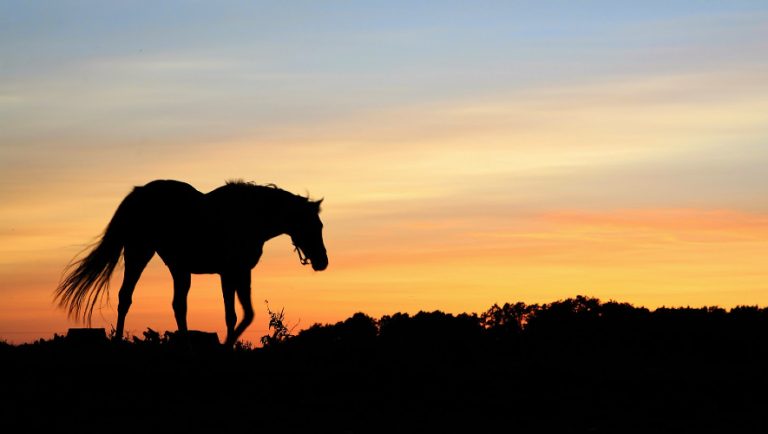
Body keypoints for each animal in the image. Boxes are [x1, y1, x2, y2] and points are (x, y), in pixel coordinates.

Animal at [54, 179, 328, 346]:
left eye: (320, 225)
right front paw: (227, 345)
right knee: (128, 297)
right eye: (313, 226)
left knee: (175, 305)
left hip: (177, 268)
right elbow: (238, 315)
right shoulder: (233, 272)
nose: (322, 262)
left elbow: (239, 314)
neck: (250, 216)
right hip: (139, 253)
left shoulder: (235, 273)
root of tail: (139, 193)